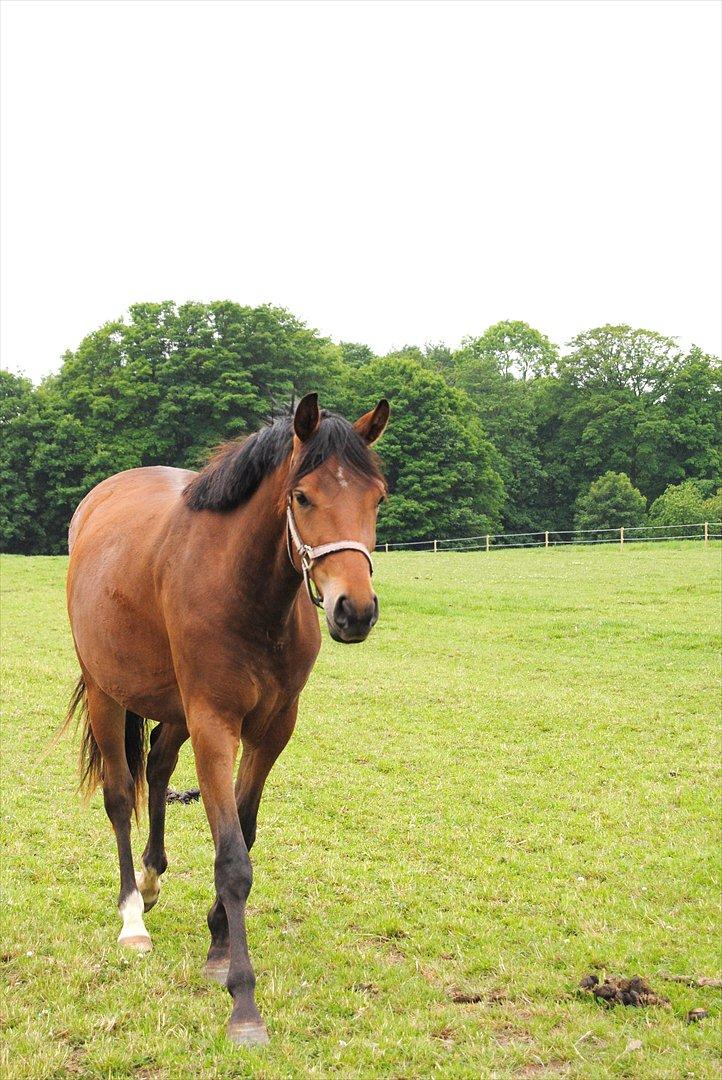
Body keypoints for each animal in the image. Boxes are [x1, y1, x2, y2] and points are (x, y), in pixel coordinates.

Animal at [63, 393, 388, 1041]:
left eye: (377, 498)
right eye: (302, 496)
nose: (355, 610)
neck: (248, 593)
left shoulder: (272, 729)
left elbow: (244, 830)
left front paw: (216, 946)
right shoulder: (215, 723)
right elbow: (233, 858)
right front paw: (243, 999)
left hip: (173, 708)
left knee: (158, 769)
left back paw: (152, 878)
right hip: (108, 692)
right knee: (120, 794)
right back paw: (132, 917)